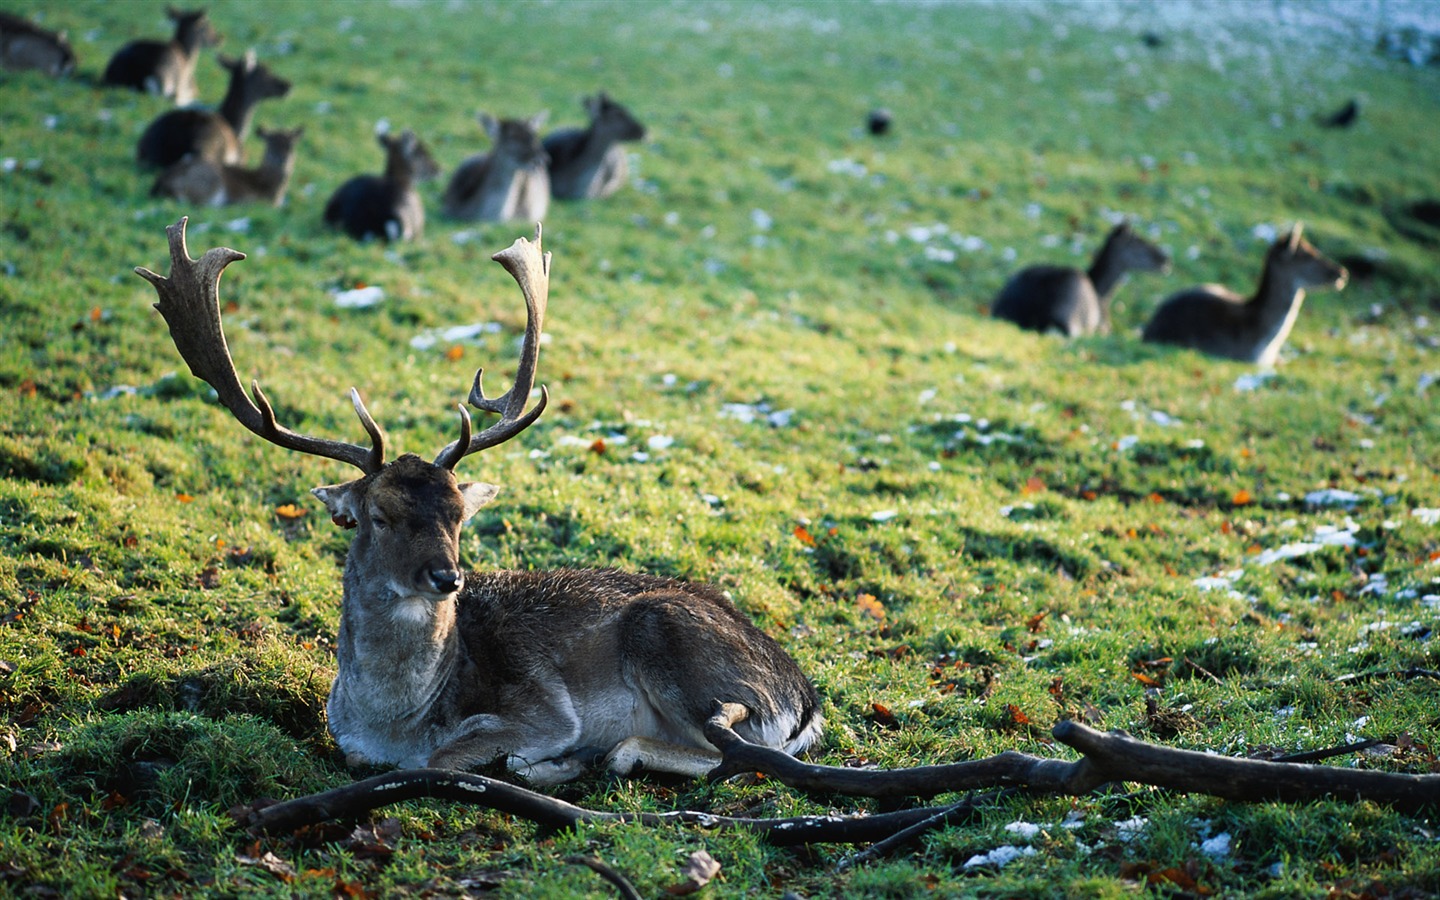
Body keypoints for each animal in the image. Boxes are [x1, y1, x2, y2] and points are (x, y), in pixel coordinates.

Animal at [137, 218, 823, 783]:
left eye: (459, 515)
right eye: (378, 516)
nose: (448, 578)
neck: (395, 721)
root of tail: (805, 700)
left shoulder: (544, 709)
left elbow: (445, 757)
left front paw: (544, 759)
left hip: (671, 638)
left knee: (728, 751)